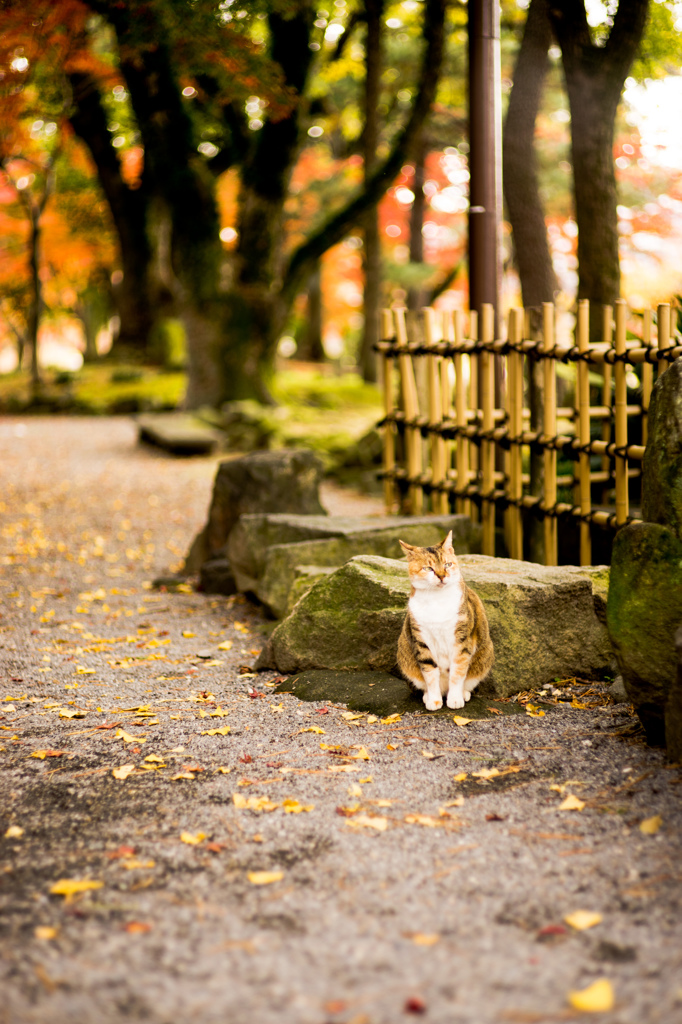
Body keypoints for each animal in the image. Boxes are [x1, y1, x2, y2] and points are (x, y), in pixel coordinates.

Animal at [395, 528, 491, 712]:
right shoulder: (422, 639)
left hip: (484, 656)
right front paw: (434, 700)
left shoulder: (461, 639)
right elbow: (430, 674)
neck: (437, 600)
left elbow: (457, 672)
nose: (441, 576)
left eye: (448, 564)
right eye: (428, 568)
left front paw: (455, 699)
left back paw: (463, 694)